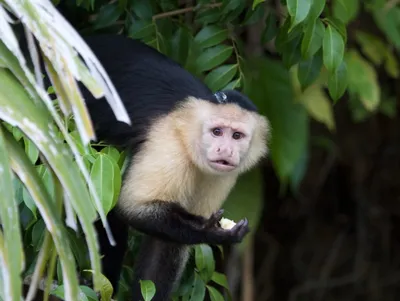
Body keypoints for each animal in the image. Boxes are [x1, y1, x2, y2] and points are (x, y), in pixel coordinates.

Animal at [22, 33, 268, 300]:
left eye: (237, 136)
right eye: (217, 132)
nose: (225, 150)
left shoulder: (221, 174)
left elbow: (166, 246)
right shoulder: (169, 146)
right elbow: (130, 207)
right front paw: (210, 232)